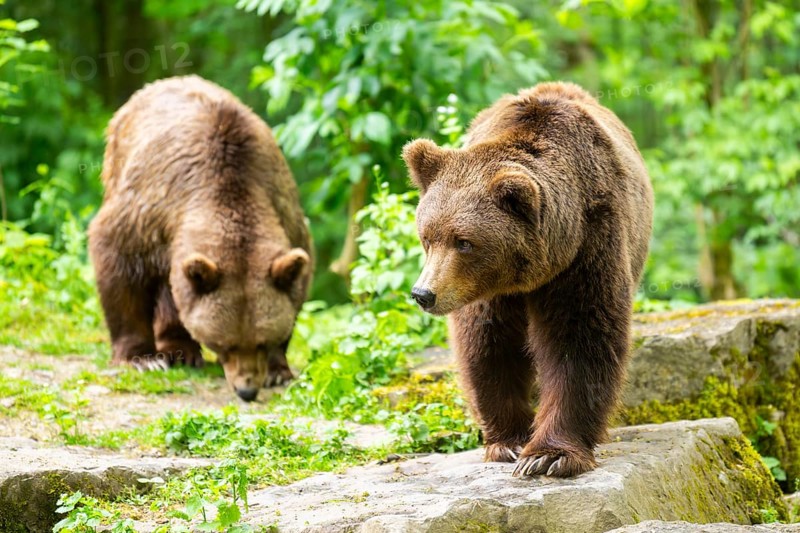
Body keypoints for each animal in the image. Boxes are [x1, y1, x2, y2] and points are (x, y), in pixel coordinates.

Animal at [88, 75, 312, 402]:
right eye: (225, 344)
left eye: (261, 341)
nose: (247, 390)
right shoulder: (150, 212)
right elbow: (119, 262)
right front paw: (141, 358)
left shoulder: (283, 209)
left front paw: (277, 370)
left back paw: (180, 351)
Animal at [402, 82, 653, 477]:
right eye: (427, 237)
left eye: (464, 242)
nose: (423, 294)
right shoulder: (484, 291)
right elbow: (489, 345)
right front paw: (509, 441)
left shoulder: (587, 246)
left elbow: (579, 338)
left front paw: (548, 455)